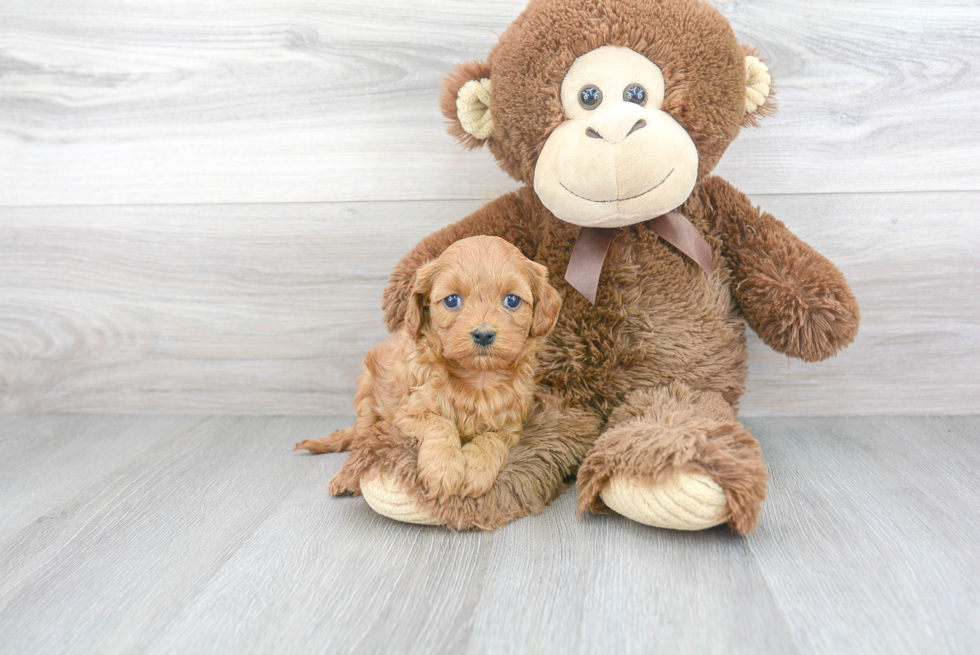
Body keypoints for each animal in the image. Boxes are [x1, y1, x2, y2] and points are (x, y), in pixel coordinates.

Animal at [292, 238, 560, 500]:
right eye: (452, 300)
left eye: (512, 300)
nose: (483, 334)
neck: (478, 378)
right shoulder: (408, 413)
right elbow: (440, 424)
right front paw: (443, 470)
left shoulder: (511, 425)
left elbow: (491, 439)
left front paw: (476, 470)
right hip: (367, 395)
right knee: (362, 440)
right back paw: (347, 478)